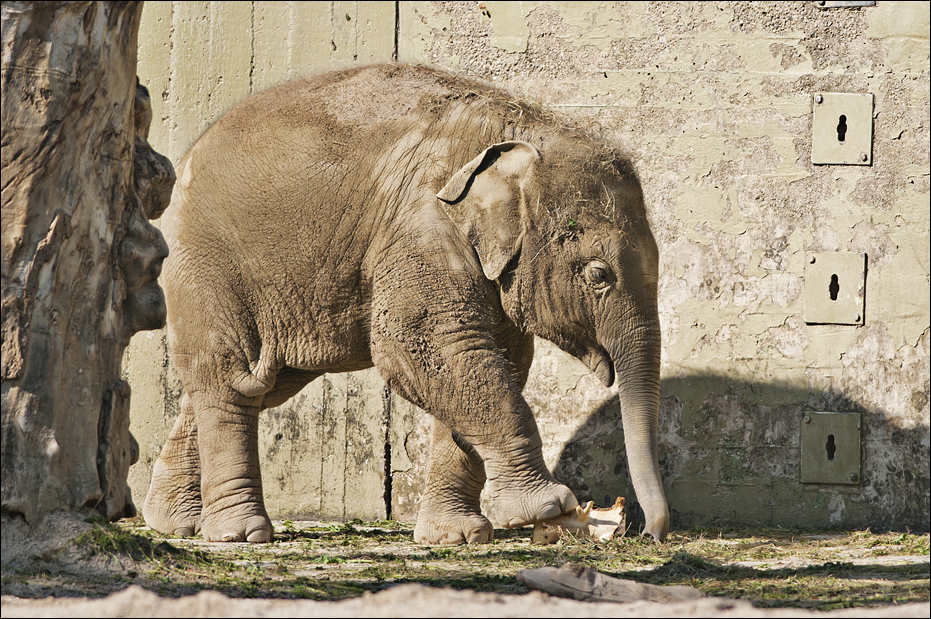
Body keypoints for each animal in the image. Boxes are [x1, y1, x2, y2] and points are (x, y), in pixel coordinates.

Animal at [143, 63, 669, 545]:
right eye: (598, 275)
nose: (646, 531)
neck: (522, 127)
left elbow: (489, 361)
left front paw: (456, 537)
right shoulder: (423, 225)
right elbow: (421, 349)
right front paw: (548, 508)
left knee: (259, 384)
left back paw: (176, 523)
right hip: (205, 260)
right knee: (229, 376)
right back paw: (240, 534)